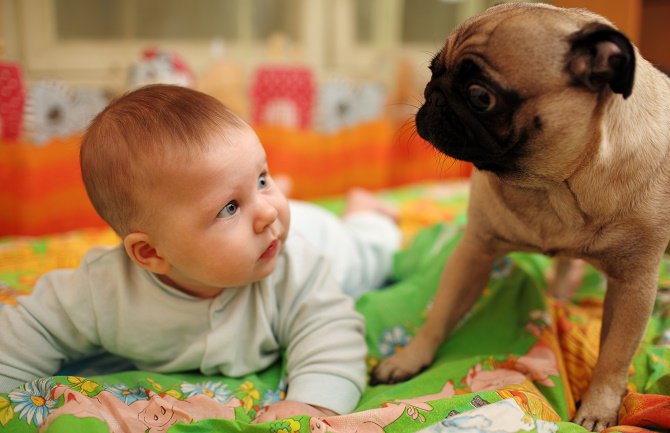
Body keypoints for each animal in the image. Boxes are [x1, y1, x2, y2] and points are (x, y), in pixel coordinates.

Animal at [372, 1, 670, 430]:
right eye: (432, 71)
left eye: (481, 97)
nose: (433, 96)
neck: (553, 187)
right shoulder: (474, 252)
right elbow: (440, 312)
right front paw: (409, 359)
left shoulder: (634, 285)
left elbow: (614, 356)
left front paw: (598, 407)